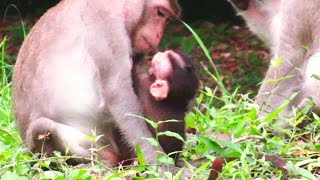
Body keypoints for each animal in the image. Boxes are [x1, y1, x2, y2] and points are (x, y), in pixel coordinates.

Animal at [12, 0, 181, 166]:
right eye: (160, 13)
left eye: (167, 19)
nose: (158, 35)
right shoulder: (107, 28)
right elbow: (118, 96)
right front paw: (161, 163)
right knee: (41, 127)